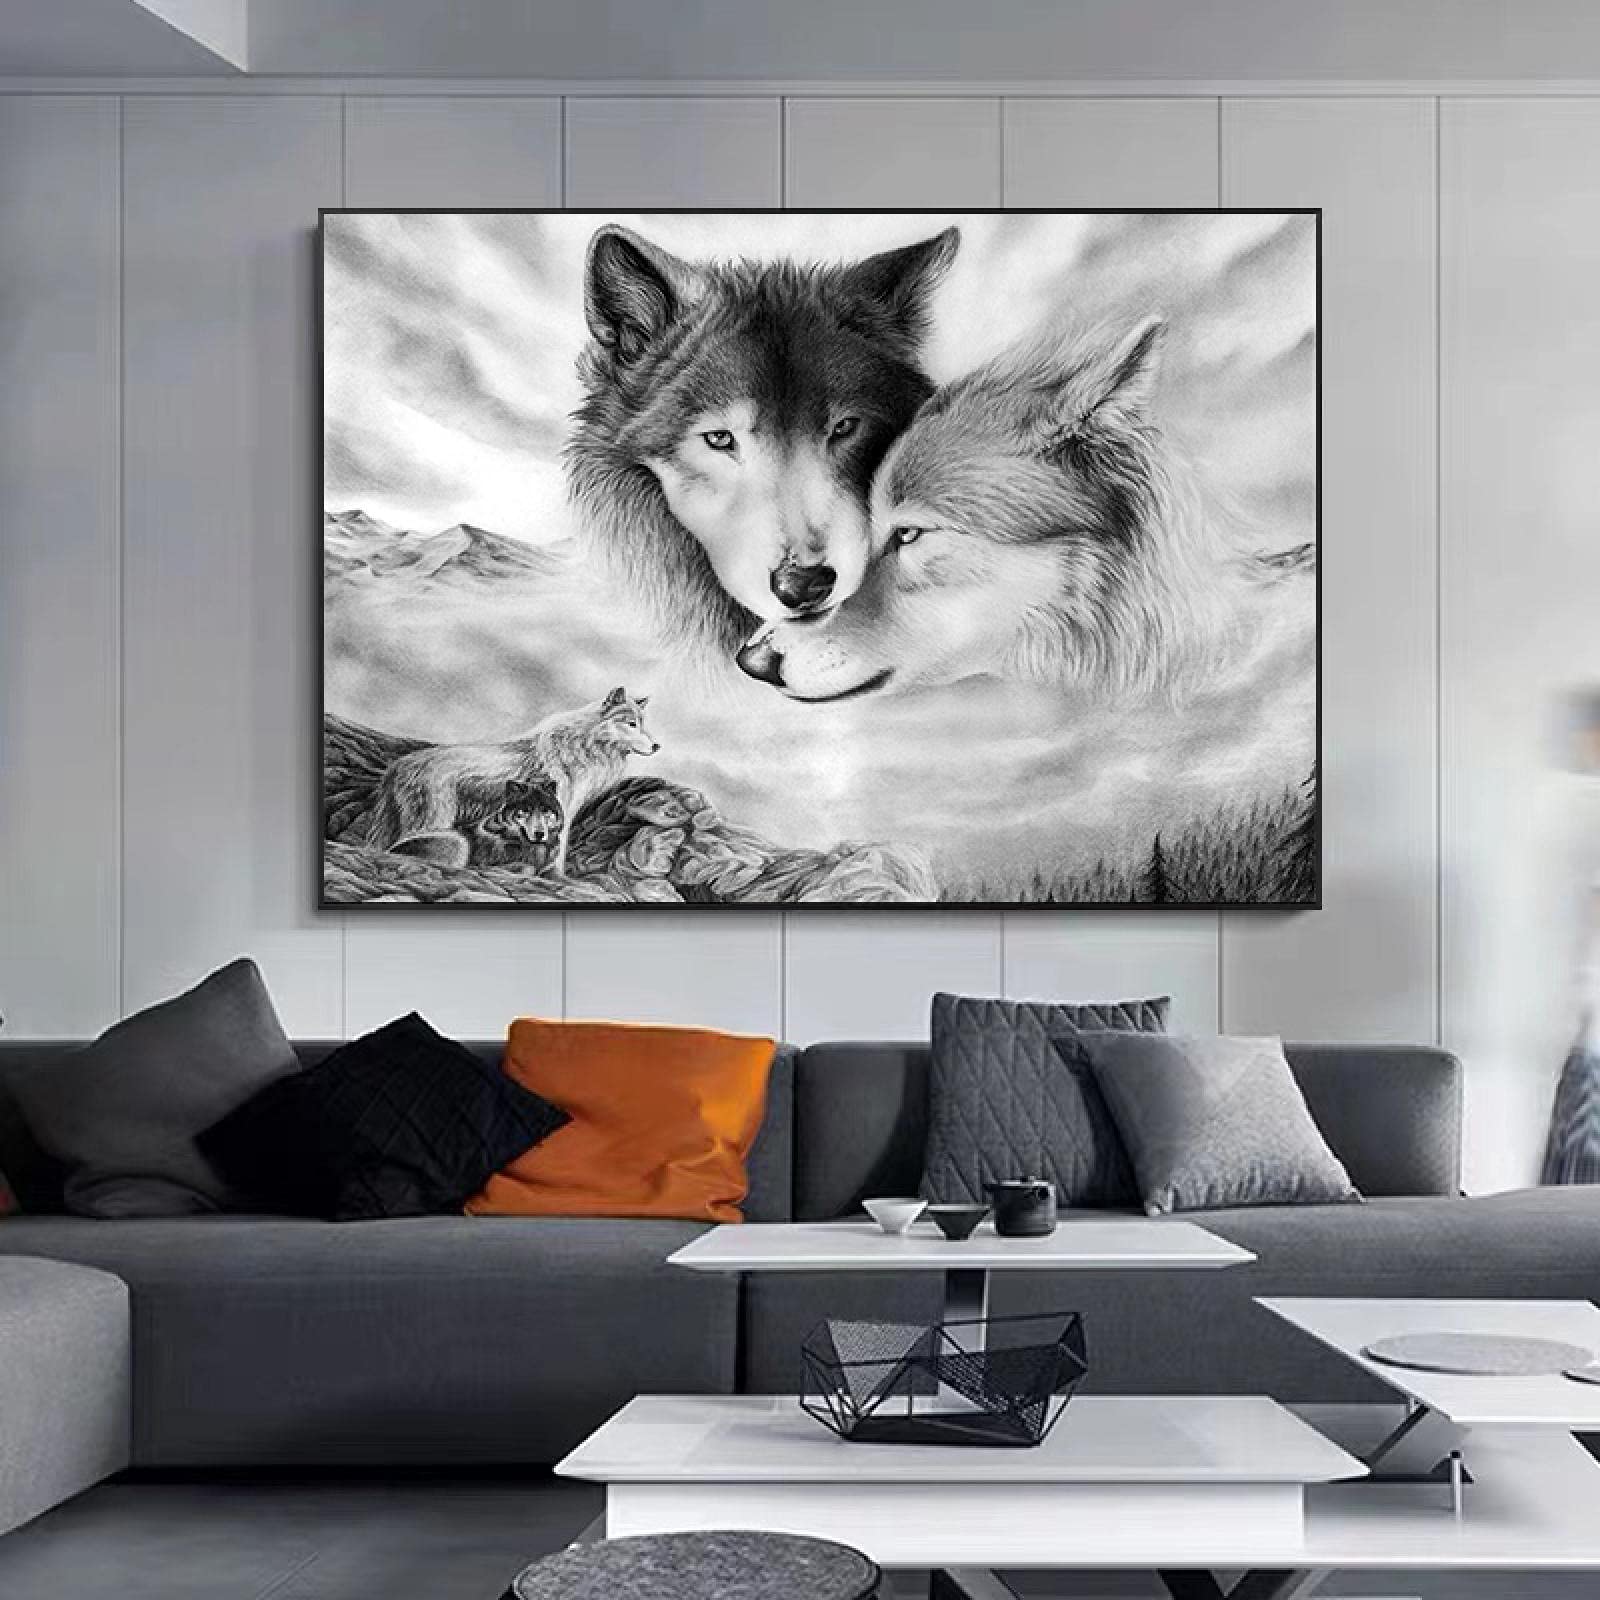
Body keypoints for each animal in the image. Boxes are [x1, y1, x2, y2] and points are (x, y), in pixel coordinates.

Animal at [369, 688, 658, 876]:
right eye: (631, 724)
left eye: (643, 724)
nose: (657, 746)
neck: (583, 743)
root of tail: (397, 765)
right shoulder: (561, 808)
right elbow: (559, 850)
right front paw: (558, 878)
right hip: (434, 822)